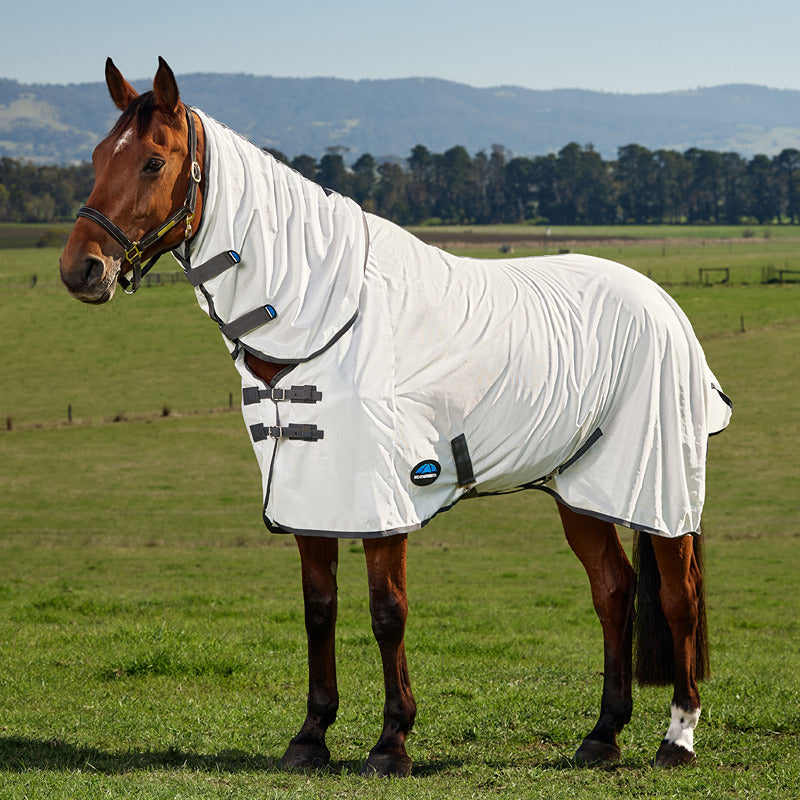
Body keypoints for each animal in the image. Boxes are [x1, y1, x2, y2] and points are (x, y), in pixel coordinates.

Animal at [60, 58, 731, 777]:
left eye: (154, 161)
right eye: (97, 156)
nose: (81, 269)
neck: (324, 313)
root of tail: (661, 302)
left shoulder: (385, 494)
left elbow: (387, 612)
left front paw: (391, 742)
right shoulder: (309, 492)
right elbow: (319, 609)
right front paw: (310, 737)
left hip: (659, 486)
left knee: (679, 598)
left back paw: (677, 739)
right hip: (579, 489)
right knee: (613, 591)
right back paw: (603, 734)